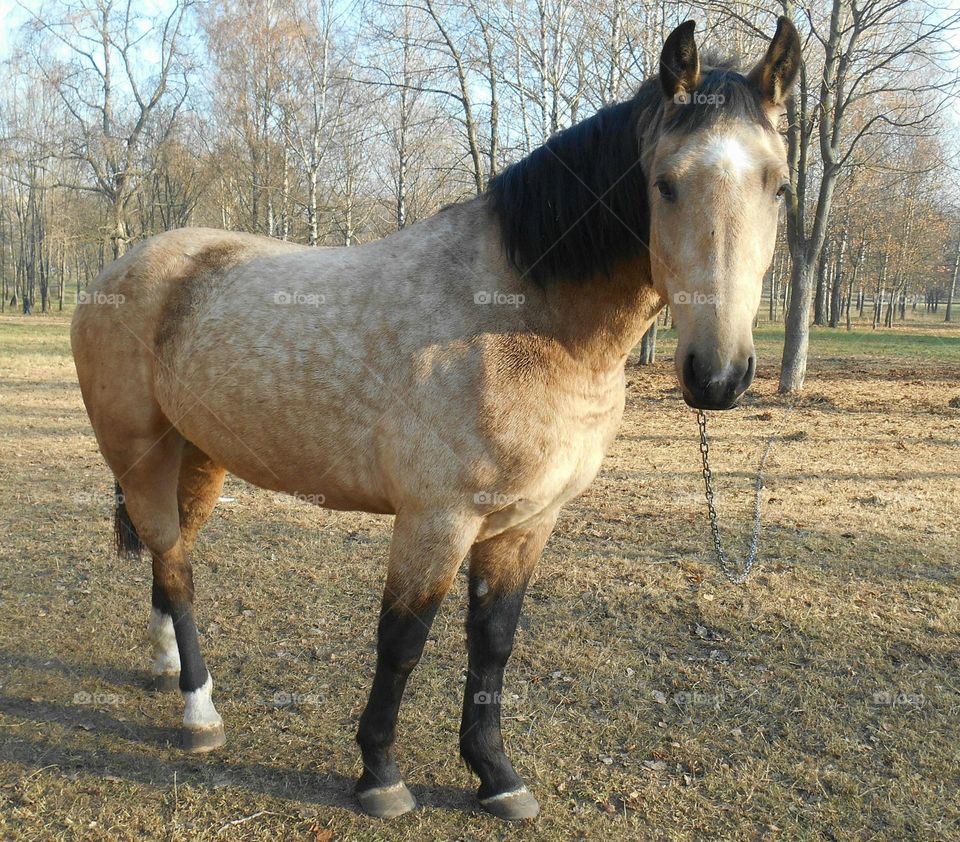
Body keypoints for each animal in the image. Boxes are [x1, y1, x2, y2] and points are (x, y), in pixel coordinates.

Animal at [71, 17, 800, 821]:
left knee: (172, 561)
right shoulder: (436, 519)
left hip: (199, 455)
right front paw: (380, 774)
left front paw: (495, 774)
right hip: (139, 455)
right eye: (665, 184)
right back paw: (200, 711)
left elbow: (493, 642)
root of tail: (122, 269)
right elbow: (404, 641)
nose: (717, 375)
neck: (519, 318)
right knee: (174, 563)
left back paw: (168, 669)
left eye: (779, 185)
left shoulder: (525, 523)